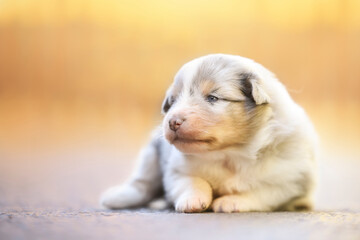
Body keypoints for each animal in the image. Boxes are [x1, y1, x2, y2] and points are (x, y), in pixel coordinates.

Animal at [100, 54, 316, 212]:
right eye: (173, 100)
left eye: (212, 98)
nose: (173, 122)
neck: (229, 155)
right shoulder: (176, 168)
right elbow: (193, 181)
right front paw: (193, 200)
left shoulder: (289, 181)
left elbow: (260, 190)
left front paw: (230, 202)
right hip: (151, 154)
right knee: (143, 183)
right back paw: (117, 198)